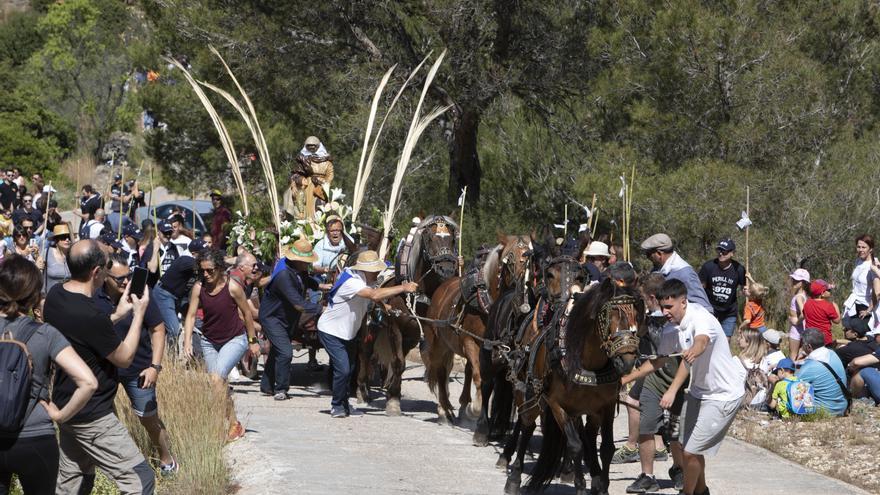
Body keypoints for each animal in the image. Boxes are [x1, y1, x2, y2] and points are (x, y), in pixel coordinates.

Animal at [354, 216, 458, 414]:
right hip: (369, 329)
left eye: (452, 239)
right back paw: (362, 390)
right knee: (365, 354)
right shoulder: (395, 329)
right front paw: (393, 401)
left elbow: (435, 365)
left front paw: (443, 405)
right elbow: (398, 363)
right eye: (430, 238)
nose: (447, 269)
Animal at [422, 234, 532, 424]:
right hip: (437, 343)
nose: (523, 286)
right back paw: (444, 410)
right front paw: (475, 409)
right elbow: (479, 376)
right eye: (509, 257)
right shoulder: (470, 343)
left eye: (530, 255)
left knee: (462, 370)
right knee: (440, 371)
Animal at [506, 278, 644, 495]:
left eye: (636, 315)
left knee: (587, 434)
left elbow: (606, 448)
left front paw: (602, 487)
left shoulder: (605, 406)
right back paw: (514, 478)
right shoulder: (558, 405)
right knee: (527, 425)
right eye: (608, 315)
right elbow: (575, 446)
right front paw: (580, 486)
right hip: (529, 394)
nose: (628, 360)